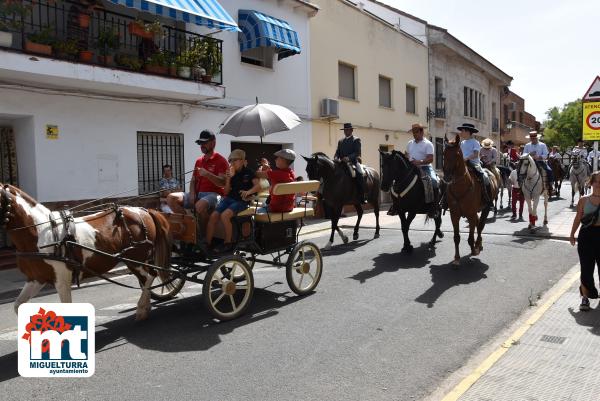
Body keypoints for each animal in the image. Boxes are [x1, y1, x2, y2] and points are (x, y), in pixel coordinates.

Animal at [442, 135, 500, 266]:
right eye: (443, 153)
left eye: (457, 154)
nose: (447, 177)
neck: (461, 186)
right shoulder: (454, 215)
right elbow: (456, 237)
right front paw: (457, 259)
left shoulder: (471, 214)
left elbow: (470, 237)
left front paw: (474, 249)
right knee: (478, 224)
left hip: (485, 208)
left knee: (480, 226)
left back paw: (478, 245)